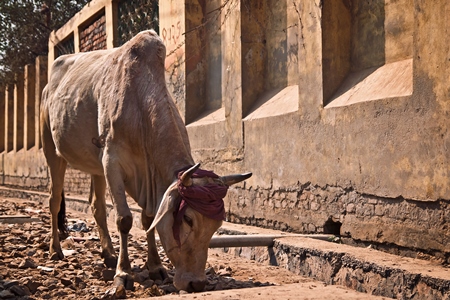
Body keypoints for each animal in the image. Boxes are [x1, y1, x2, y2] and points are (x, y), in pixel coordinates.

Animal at [40, 30, 251, 298]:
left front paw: (155, 267)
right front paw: (123, 274)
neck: (139, 106)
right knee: (54, 200)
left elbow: (149, 220)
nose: (196, 284)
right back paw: (55, 250)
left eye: (216, 225)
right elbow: (124, 220)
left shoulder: (142, 178)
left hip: (96, 166)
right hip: (53, 151)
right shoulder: (112, 163)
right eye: (188, 219)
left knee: (97, 206)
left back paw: (108, 254)